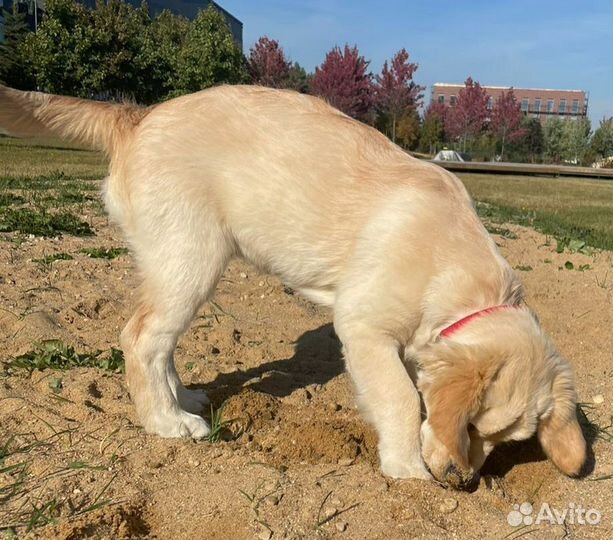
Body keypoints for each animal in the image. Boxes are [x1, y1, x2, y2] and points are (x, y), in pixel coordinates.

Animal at [0, 83, 584, 486]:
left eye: (501, 440)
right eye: (473, 427)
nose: (461, 482)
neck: (459, 277)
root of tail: (139, 115)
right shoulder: (362, 327)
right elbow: (400, 397)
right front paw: (407, 472)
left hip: (175, 265)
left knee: (160, 341)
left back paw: (184, 399)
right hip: (192, 258)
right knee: (141, 338)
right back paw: (167, 423)